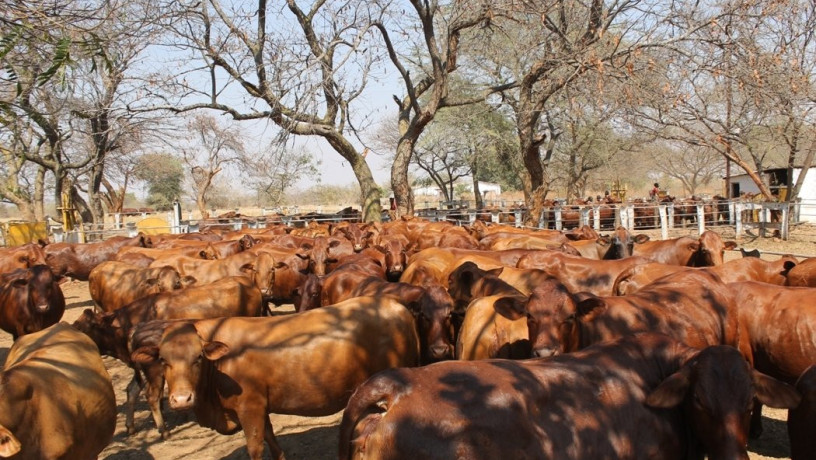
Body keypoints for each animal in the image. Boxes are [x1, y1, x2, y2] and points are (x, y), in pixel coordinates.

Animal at [131, 296, 420, 458]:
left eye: (198, 358)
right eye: (163, 360)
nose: (181, 400)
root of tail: (396, 306)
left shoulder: (250, 408)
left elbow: (256, 447)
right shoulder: (261, 408)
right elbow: (272, 440)